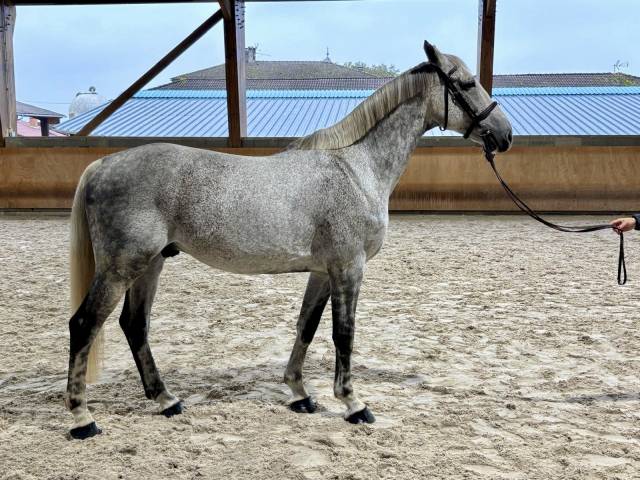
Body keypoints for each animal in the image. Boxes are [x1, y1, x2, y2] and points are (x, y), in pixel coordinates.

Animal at [64, 41, 513, 439]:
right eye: (468, 83)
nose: (504, 135)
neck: (356, 170)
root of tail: (103, 164)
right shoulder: (348, 268)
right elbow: (343, 333)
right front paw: (353, 404)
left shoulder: (322, 272)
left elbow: (307, 326)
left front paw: (299, 393)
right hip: (123, 267)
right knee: (85, 324)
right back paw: (82, 418)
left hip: (151, 264)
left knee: (134, 324)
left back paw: (166, 399)